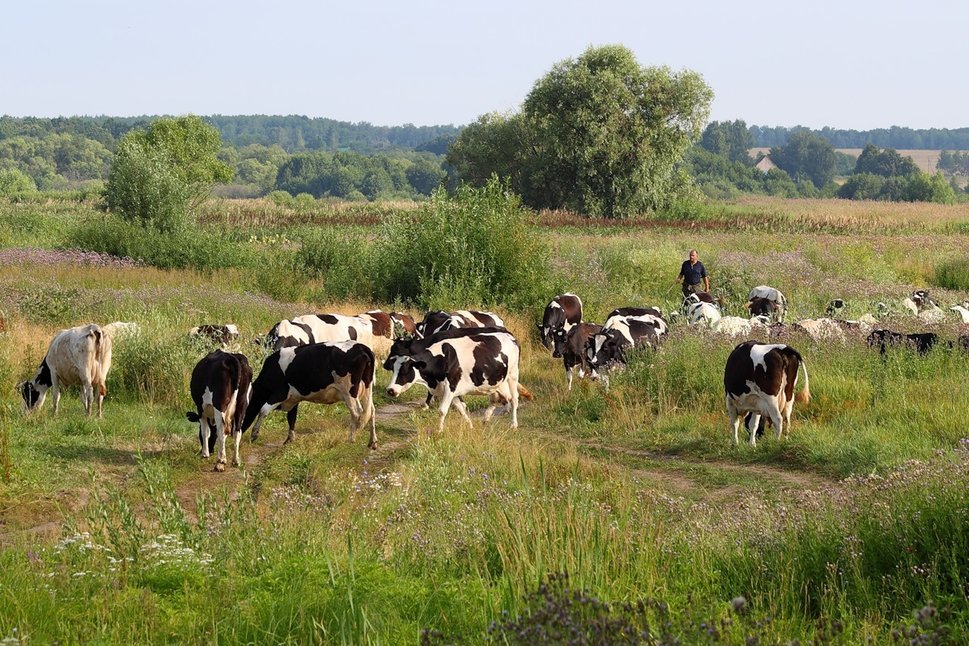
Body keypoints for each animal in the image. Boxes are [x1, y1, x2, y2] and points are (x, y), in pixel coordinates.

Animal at [241, 341, 377, 449]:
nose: (239, 431)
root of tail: (360, 346)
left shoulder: (280, 393)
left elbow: (263, 410)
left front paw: (254, 434)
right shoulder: (294, 398)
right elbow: (291, 417)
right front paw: (289, 439)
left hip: (349, 391)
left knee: (356, 412)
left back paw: (351, 439)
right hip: (366, 388)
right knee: (371, 411)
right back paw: (372, 442)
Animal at [384, 328, 524, 433]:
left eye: (404, 371)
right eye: (394, 369)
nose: (390, 390)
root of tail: (510, 336)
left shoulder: (450, 386)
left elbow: (442, 410)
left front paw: (439, 430)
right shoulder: (451, 390)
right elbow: (461, 408)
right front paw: (470, 425)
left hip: (513, 375)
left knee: (514, 399)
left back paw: (514, 424)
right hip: (497, 381)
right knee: (500, 397)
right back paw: (486, 418)